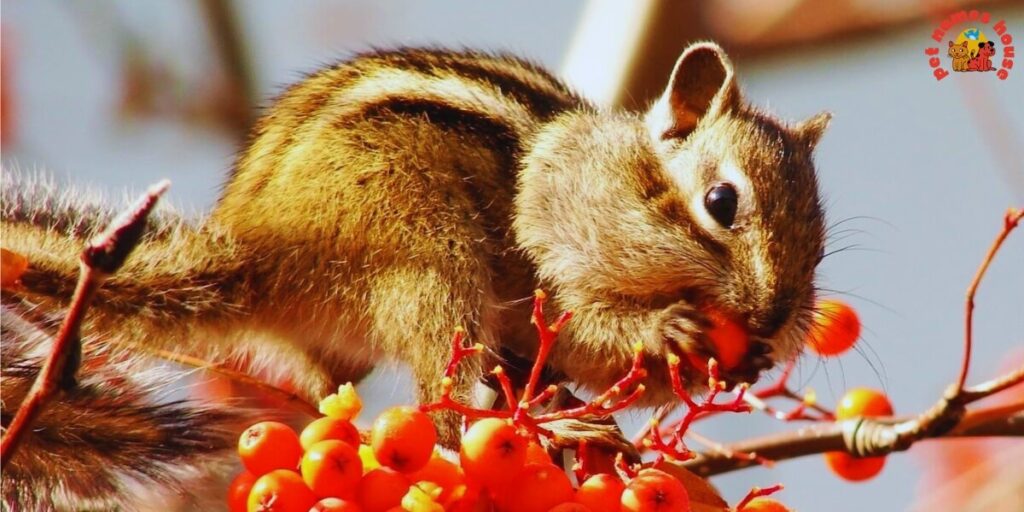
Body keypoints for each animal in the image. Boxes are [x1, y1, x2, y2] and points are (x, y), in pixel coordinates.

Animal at [1, 42, 830, 508]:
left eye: (820, 241)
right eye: (722, 201)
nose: (772, 316)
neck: (626, 177)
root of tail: (256, 254)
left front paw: (743, 357)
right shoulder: (554, 249)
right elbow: (583, 333)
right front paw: (668, 328)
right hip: (429, 265)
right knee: (445, 413)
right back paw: (543, 423)